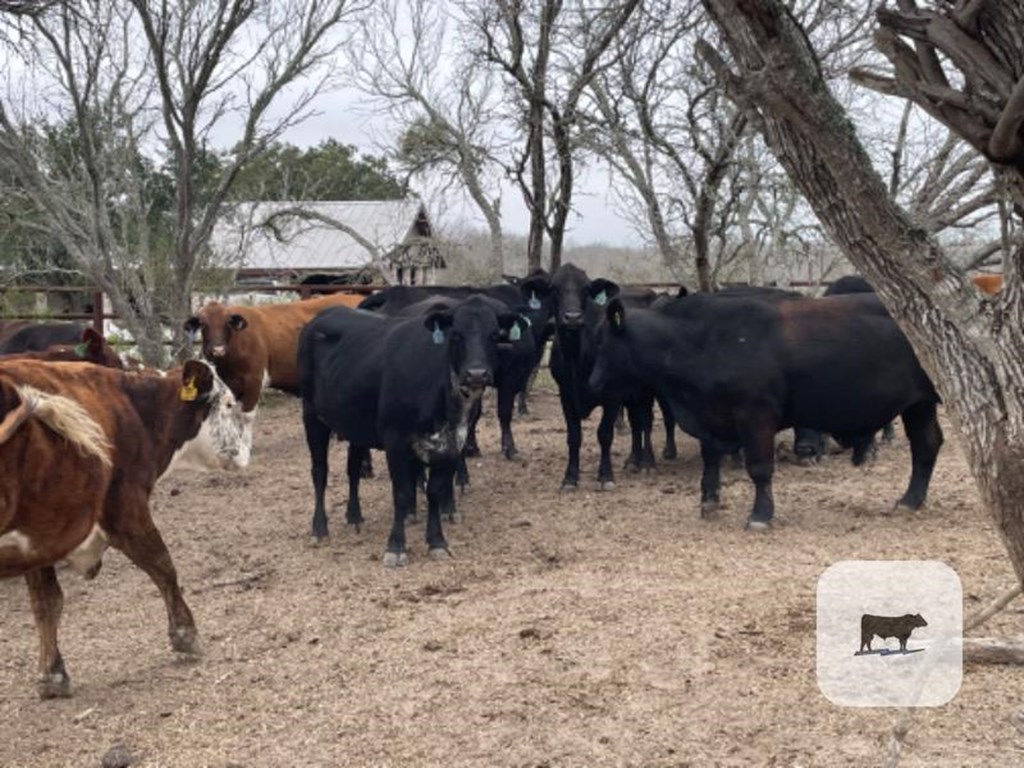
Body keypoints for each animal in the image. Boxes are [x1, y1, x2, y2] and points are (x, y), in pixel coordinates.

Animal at [0, 358, 251, 700]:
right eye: (227, 403)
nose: (247, 450)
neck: (134, 407)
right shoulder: (124, 508)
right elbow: (163, 567)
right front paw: (186, 635)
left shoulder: (41, 538)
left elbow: (46, 602)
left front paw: (53, 675)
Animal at [294, 294, 520, 565]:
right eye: (456, 334)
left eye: (495, 334)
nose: (477, 373)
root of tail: (322, 315)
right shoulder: (395, 441)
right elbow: (401, 493)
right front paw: (396, 547)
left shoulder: (451, 443)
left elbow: (435, 491)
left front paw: (437, 542)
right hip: (312, 416)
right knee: (320, 472)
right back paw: (319, 529)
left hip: (355, 425)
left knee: (353, 470)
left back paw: (354, 515)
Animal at [593, 290, 942, 532]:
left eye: (602, 342)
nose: (592, 383)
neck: (700, 341)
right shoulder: (711, 417)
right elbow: (710, 458)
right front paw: (709, 500)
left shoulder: (755, 416)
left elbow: (760, 468)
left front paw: (760, 515)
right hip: (919, 405)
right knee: (927, 444)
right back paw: (910, 500)